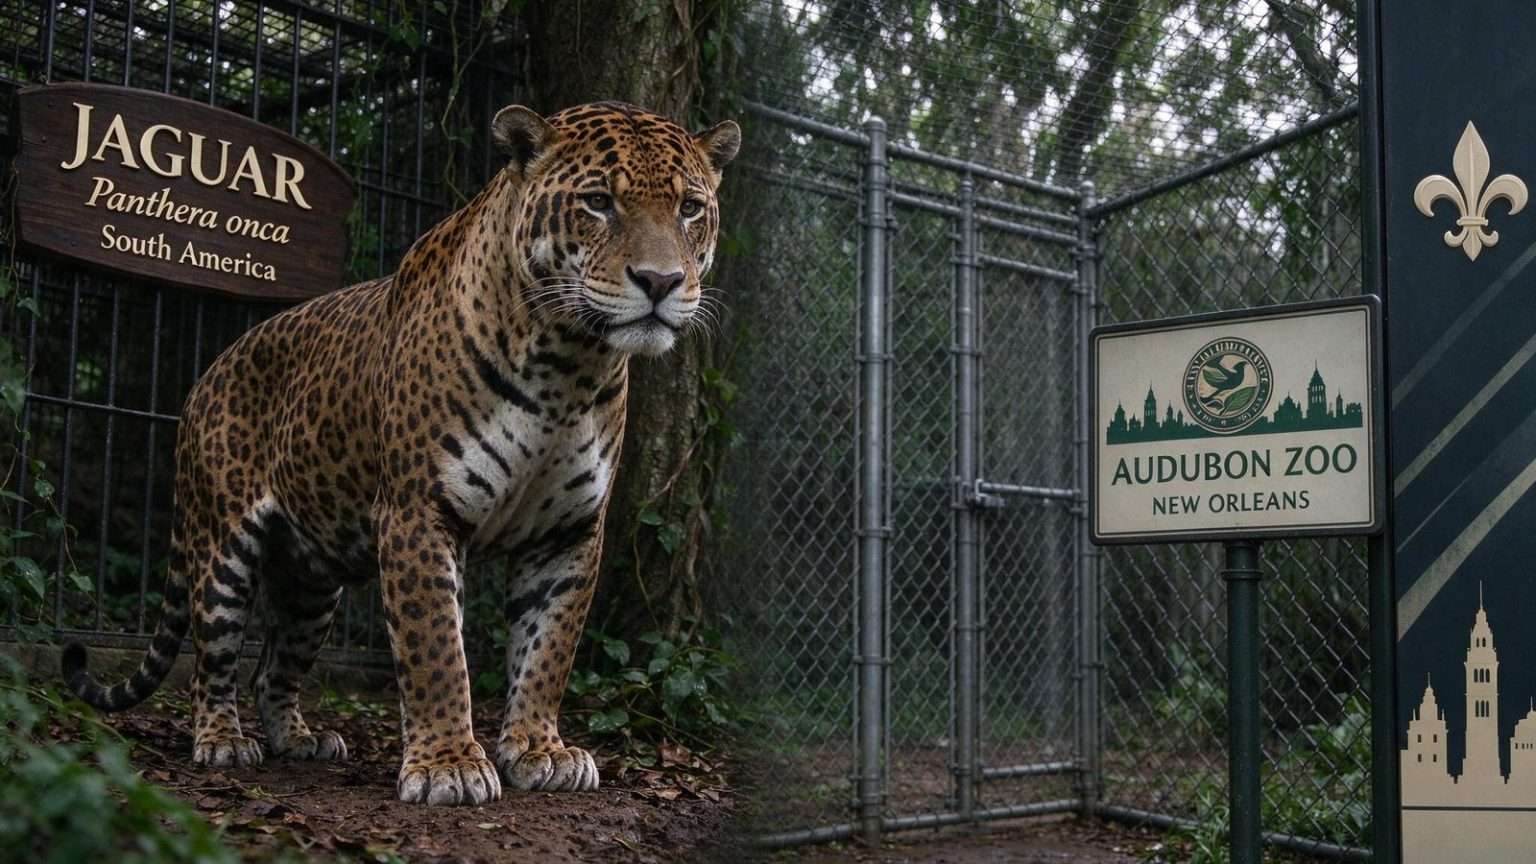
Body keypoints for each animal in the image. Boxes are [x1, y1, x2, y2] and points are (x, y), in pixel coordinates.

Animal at [62, 101, 741, 807]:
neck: (568, 364)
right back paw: (222, 741)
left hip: (312, 585)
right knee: (213, 661)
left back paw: (299, 740)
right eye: (599, 202)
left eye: (690, 208)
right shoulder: (419, 512)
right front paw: (449, 765)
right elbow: (435, 644)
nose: (661, 281)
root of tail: (206, 375)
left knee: (273, 668)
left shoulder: (570, 531)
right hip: (222, 549)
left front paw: (539, 749)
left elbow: (549, 649)